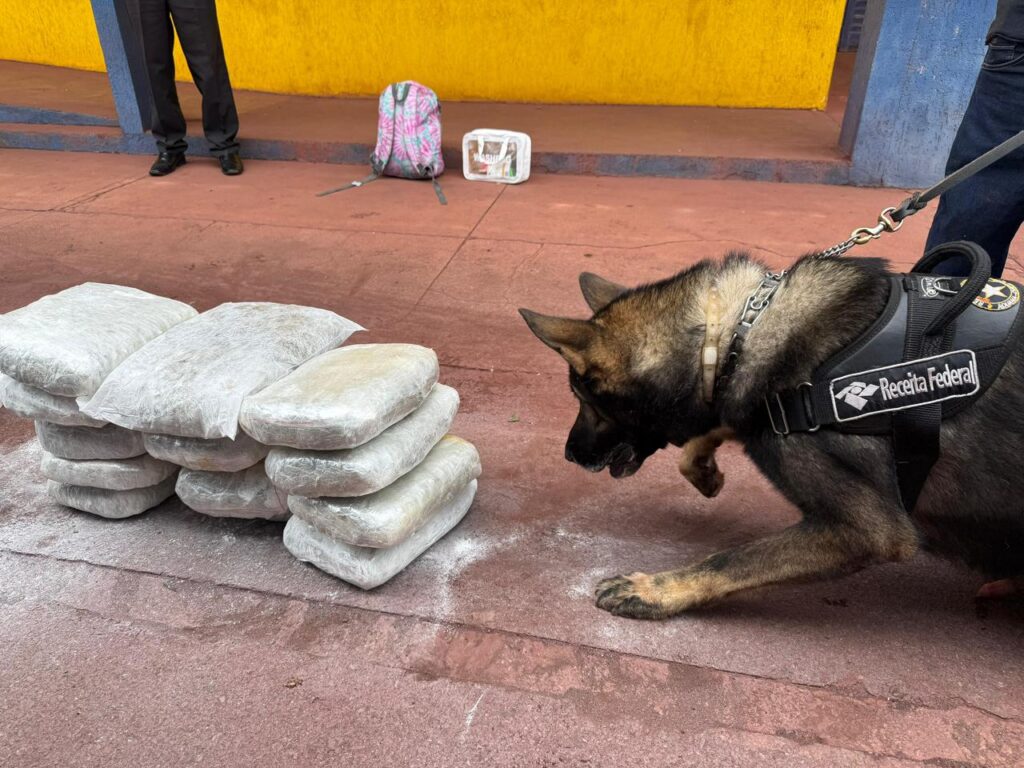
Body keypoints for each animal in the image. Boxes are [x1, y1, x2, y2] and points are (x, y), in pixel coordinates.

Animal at [520, 253, 1024, 619]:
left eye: (584, 397)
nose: (569, 454)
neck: (737, 332)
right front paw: (702, 468)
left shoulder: (869, 530)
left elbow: (733, 559)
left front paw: (657, 590)